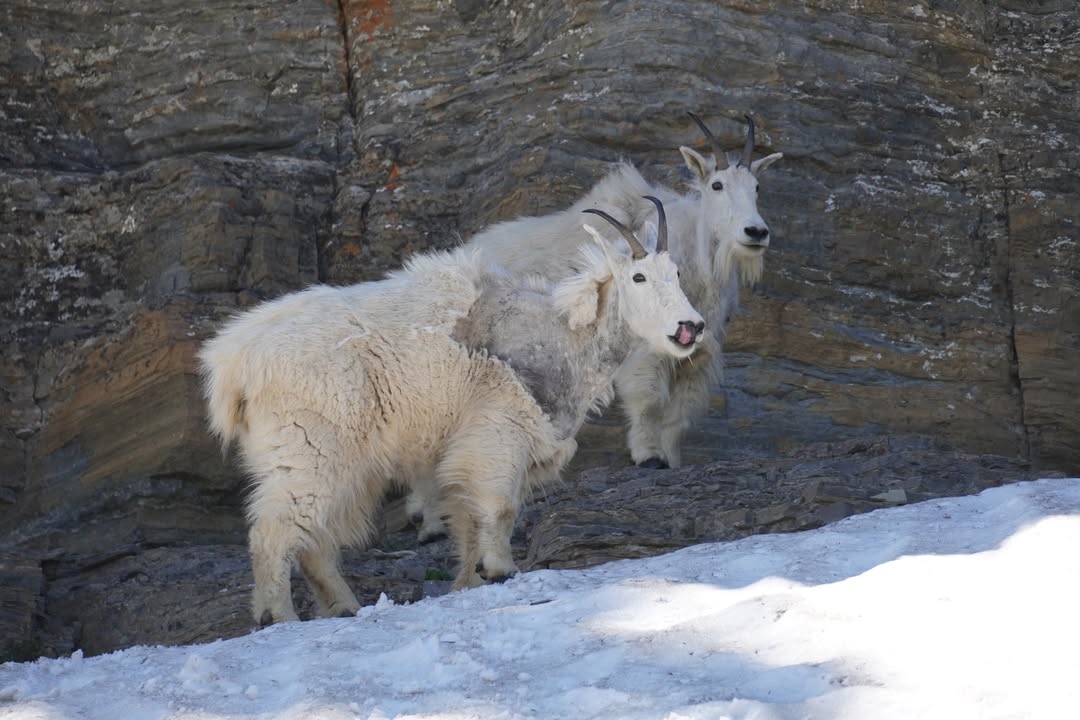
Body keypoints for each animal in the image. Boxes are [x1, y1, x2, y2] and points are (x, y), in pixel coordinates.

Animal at [198, 199, 703, 624]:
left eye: (677, 273)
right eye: (638, 278)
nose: (690, 327)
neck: (561, 335)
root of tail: (232, 363)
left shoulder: (464, 448)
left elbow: (468, 516)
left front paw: (470, 578)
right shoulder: (499, 430)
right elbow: (500, 507)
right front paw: (500, 569)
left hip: (342, 460)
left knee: (316, 538)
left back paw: (344, 606)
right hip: (308, 445)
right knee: (276, 529)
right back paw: (278, 615)